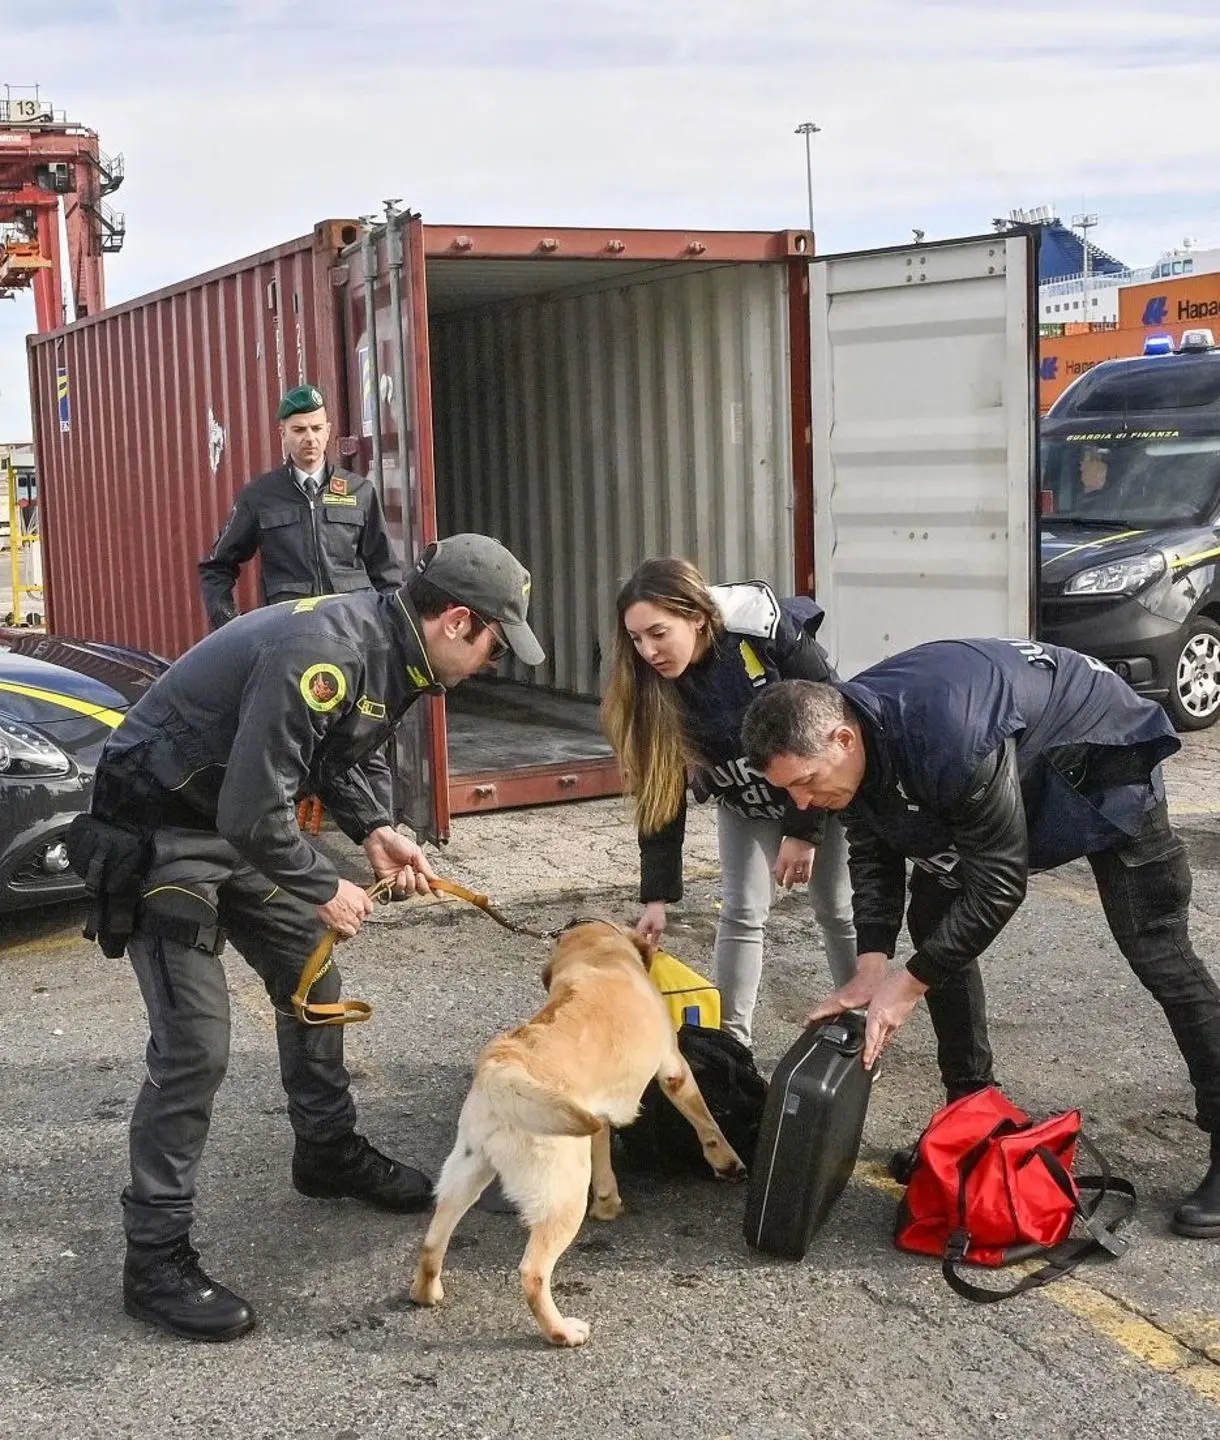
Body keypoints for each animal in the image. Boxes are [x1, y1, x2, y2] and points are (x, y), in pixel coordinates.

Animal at [411, 921, 743, 1347]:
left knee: (432, 1242)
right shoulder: (674, 1068)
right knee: (533, 1274)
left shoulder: (596, 1115)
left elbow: (604, 1158)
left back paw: (425, 1293)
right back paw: (562, 1331)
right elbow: (705, 1120)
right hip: (563, 1195)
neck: (599, 953)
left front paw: (608, 1202)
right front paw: (727, 1160)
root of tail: (501, 1066)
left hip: (466, 1174)